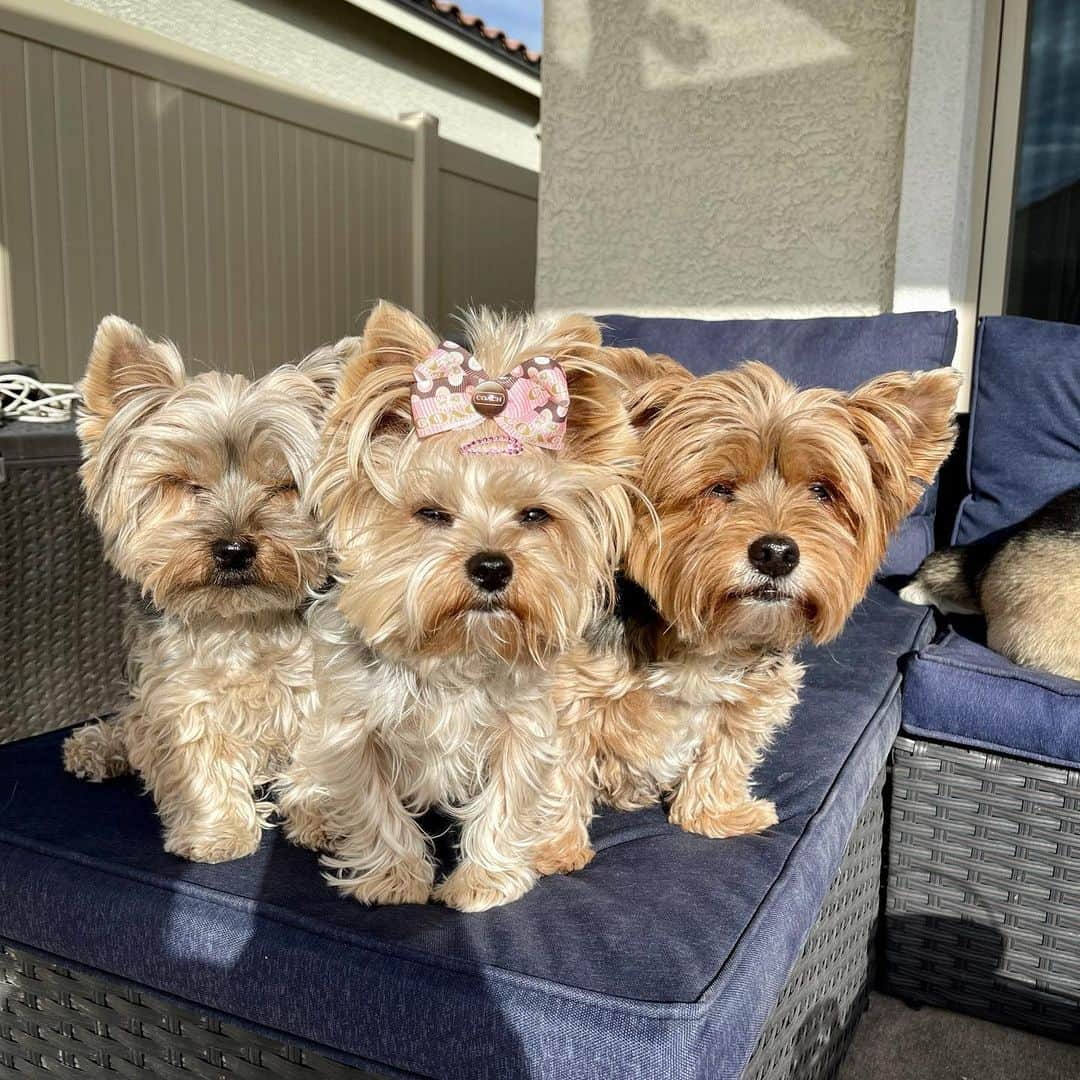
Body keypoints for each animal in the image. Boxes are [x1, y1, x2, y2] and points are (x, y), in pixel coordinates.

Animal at [65, 315, 334, 864]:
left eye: (283, 486)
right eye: (184, 483)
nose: (234, 549)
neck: (239, 623)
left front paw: (322, 817)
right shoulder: (178, 692)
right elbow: (197, 757)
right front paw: (219, 833)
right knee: (129, 721)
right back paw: (96, 746)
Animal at [274, 302, 639, 911]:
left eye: (535, 515)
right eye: (430, 513)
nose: (492, 566)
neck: (454, 650)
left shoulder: (525, 725)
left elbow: (508, 802)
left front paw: (483, 883)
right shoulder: (352, 729)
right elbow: (372, 805)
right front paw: (394, 880)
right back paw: (314, 818)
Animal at [548, 358, 963, 864]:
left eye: (822, 491)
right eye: (720, 488)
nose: (776, 553)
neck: (703, 639)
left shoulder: (753, 697)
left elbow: (726, 751)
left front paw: (716, 815)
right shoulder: (566, 691)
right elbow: (556, 769)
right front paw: (551, 850)